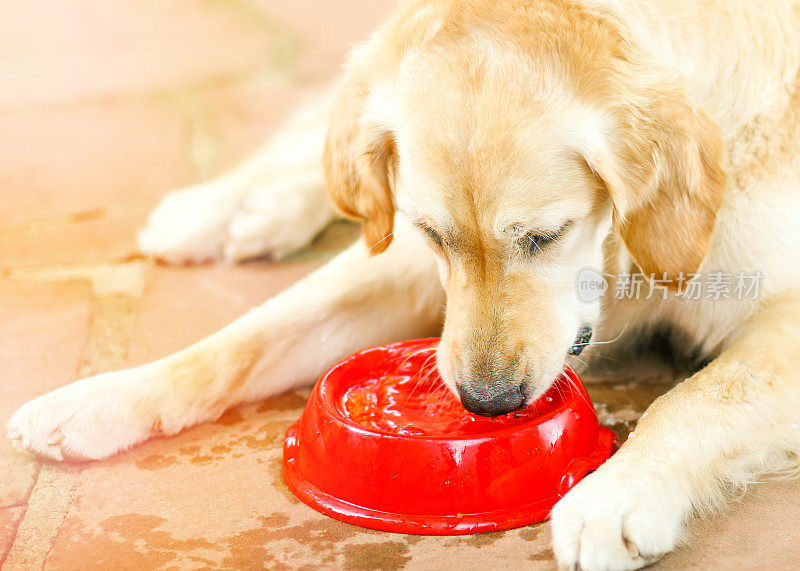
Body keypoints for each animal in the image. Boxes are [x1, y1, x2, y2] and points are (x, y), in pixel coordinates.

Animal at [6, 0, 800, 568]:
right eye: (433, 233)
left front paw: (617, 496)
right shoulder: (405, 261)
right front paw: (100, 398)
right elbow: (244, 337)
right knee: (330, 139)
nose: (486, 402)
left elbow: (696, 398)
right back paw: (220, 208)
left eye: (546, 235)